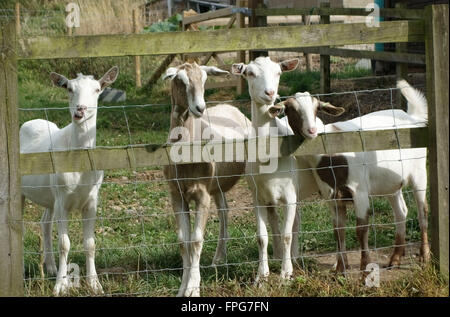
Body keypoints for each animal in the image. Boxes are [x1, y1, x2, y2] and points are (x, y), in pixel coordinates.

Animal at [20, 66, 118, 294]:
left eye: (98, 89)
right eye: (69, 88)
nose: (80, 110)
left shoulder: (91, 201)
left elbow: (90, 243)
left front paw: (95, 284)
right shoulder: (62, 201)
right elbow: (64, 244)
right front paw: (60, 287)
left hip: (49, 195)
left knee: (45, 222)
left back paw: (51, 267)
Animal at [163, 62, 253, 296]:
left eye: (204, 79)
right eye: (180, 80)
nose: (200, 108)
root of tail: (233, 108)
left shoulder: (202, 194)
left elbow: (195, 240)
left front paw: (193, 288)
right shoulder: (177, 195)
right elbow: (183, 241)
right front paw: (182, 288)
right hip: (217, 184)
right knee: (224, 211)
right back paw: (219, 258)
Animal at [280, 79, 430, 272]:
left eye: (316, 108)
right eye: (291, 109)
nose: (312, 130)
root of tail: (413, 118)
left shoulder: (359, 191)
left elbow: (361, 228)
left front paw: (365, 266)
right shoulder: (332, 197)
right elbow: (338, 231)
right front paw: (340, 269)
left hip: (419, 172)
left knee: (422, 211)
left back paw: (424, 256)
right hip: (391, 182)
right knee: (401, 212)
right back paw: (395, 258)